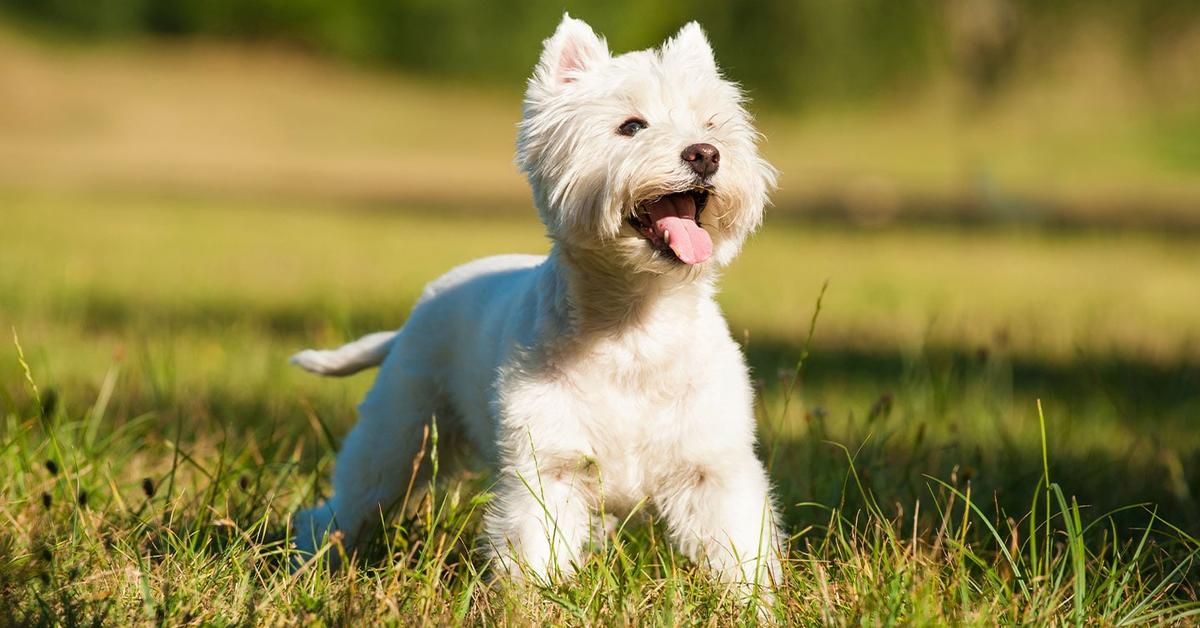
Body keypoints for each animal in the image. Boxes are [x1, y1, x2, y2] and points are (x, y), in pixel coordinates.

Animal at [294, 13, 782, 595]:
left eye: (712, 124)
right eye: (631, 126)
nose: (705, 154)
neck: (635, 325)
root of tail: (419, 311)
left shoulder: (713, 468)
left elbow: (740, 553)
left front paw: (753, 604)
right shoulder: (548, 468)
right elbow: (535, 554)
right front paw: (537, 602)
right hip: (400, 436)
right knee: (343, 507)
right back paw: (311, 562)